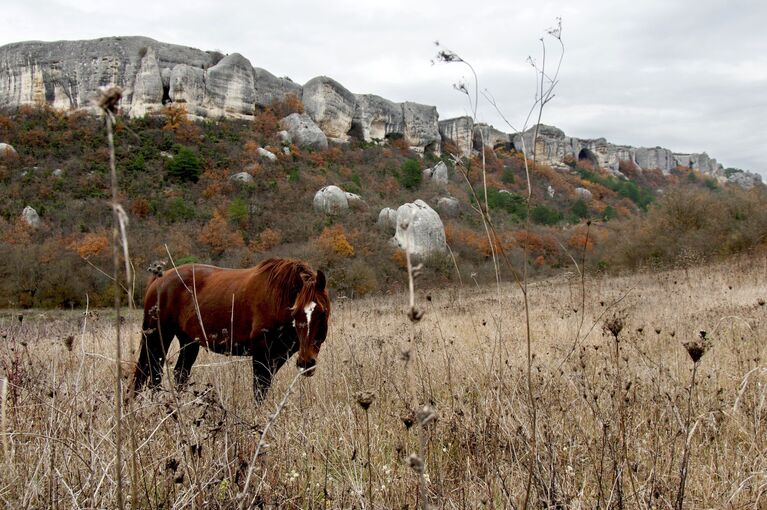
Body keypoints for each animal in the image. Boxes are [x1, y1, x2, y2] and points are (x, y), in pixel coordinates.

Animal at [132, 256, 330, 400]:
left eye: (322, 312)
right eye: (295, 312)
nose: (306, 363)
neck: (278, 298)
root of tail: (159, 279)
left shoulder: (278, 355)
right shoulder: (261, 354)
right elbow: (259, 390)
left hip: (188, 343)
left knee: (178, 373)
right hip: (158, 337)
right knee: (150, 373)